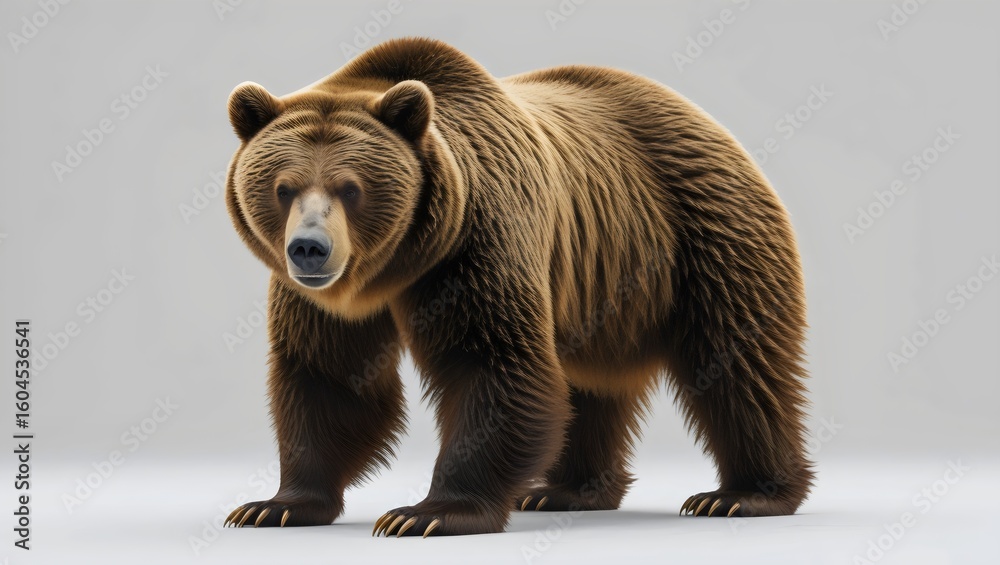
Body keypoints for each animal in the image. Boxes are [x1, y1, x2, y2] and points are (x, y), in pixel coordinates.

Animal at [222, 37, 814, 537]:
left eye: (350, 188)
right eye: (283, 188)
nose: (310, 248)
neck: (397, 266)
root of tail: (708, 119)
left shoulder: (477, 241)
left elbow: (492, 363)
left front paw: (428, 513)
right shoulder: (321, 302)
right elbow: (329, 377)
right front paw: (275, 505)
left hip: (704, 236)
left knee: (738, 364)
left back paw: (740, 495)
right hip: (600, 285)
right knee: (588, 385)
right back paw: (568, 490)